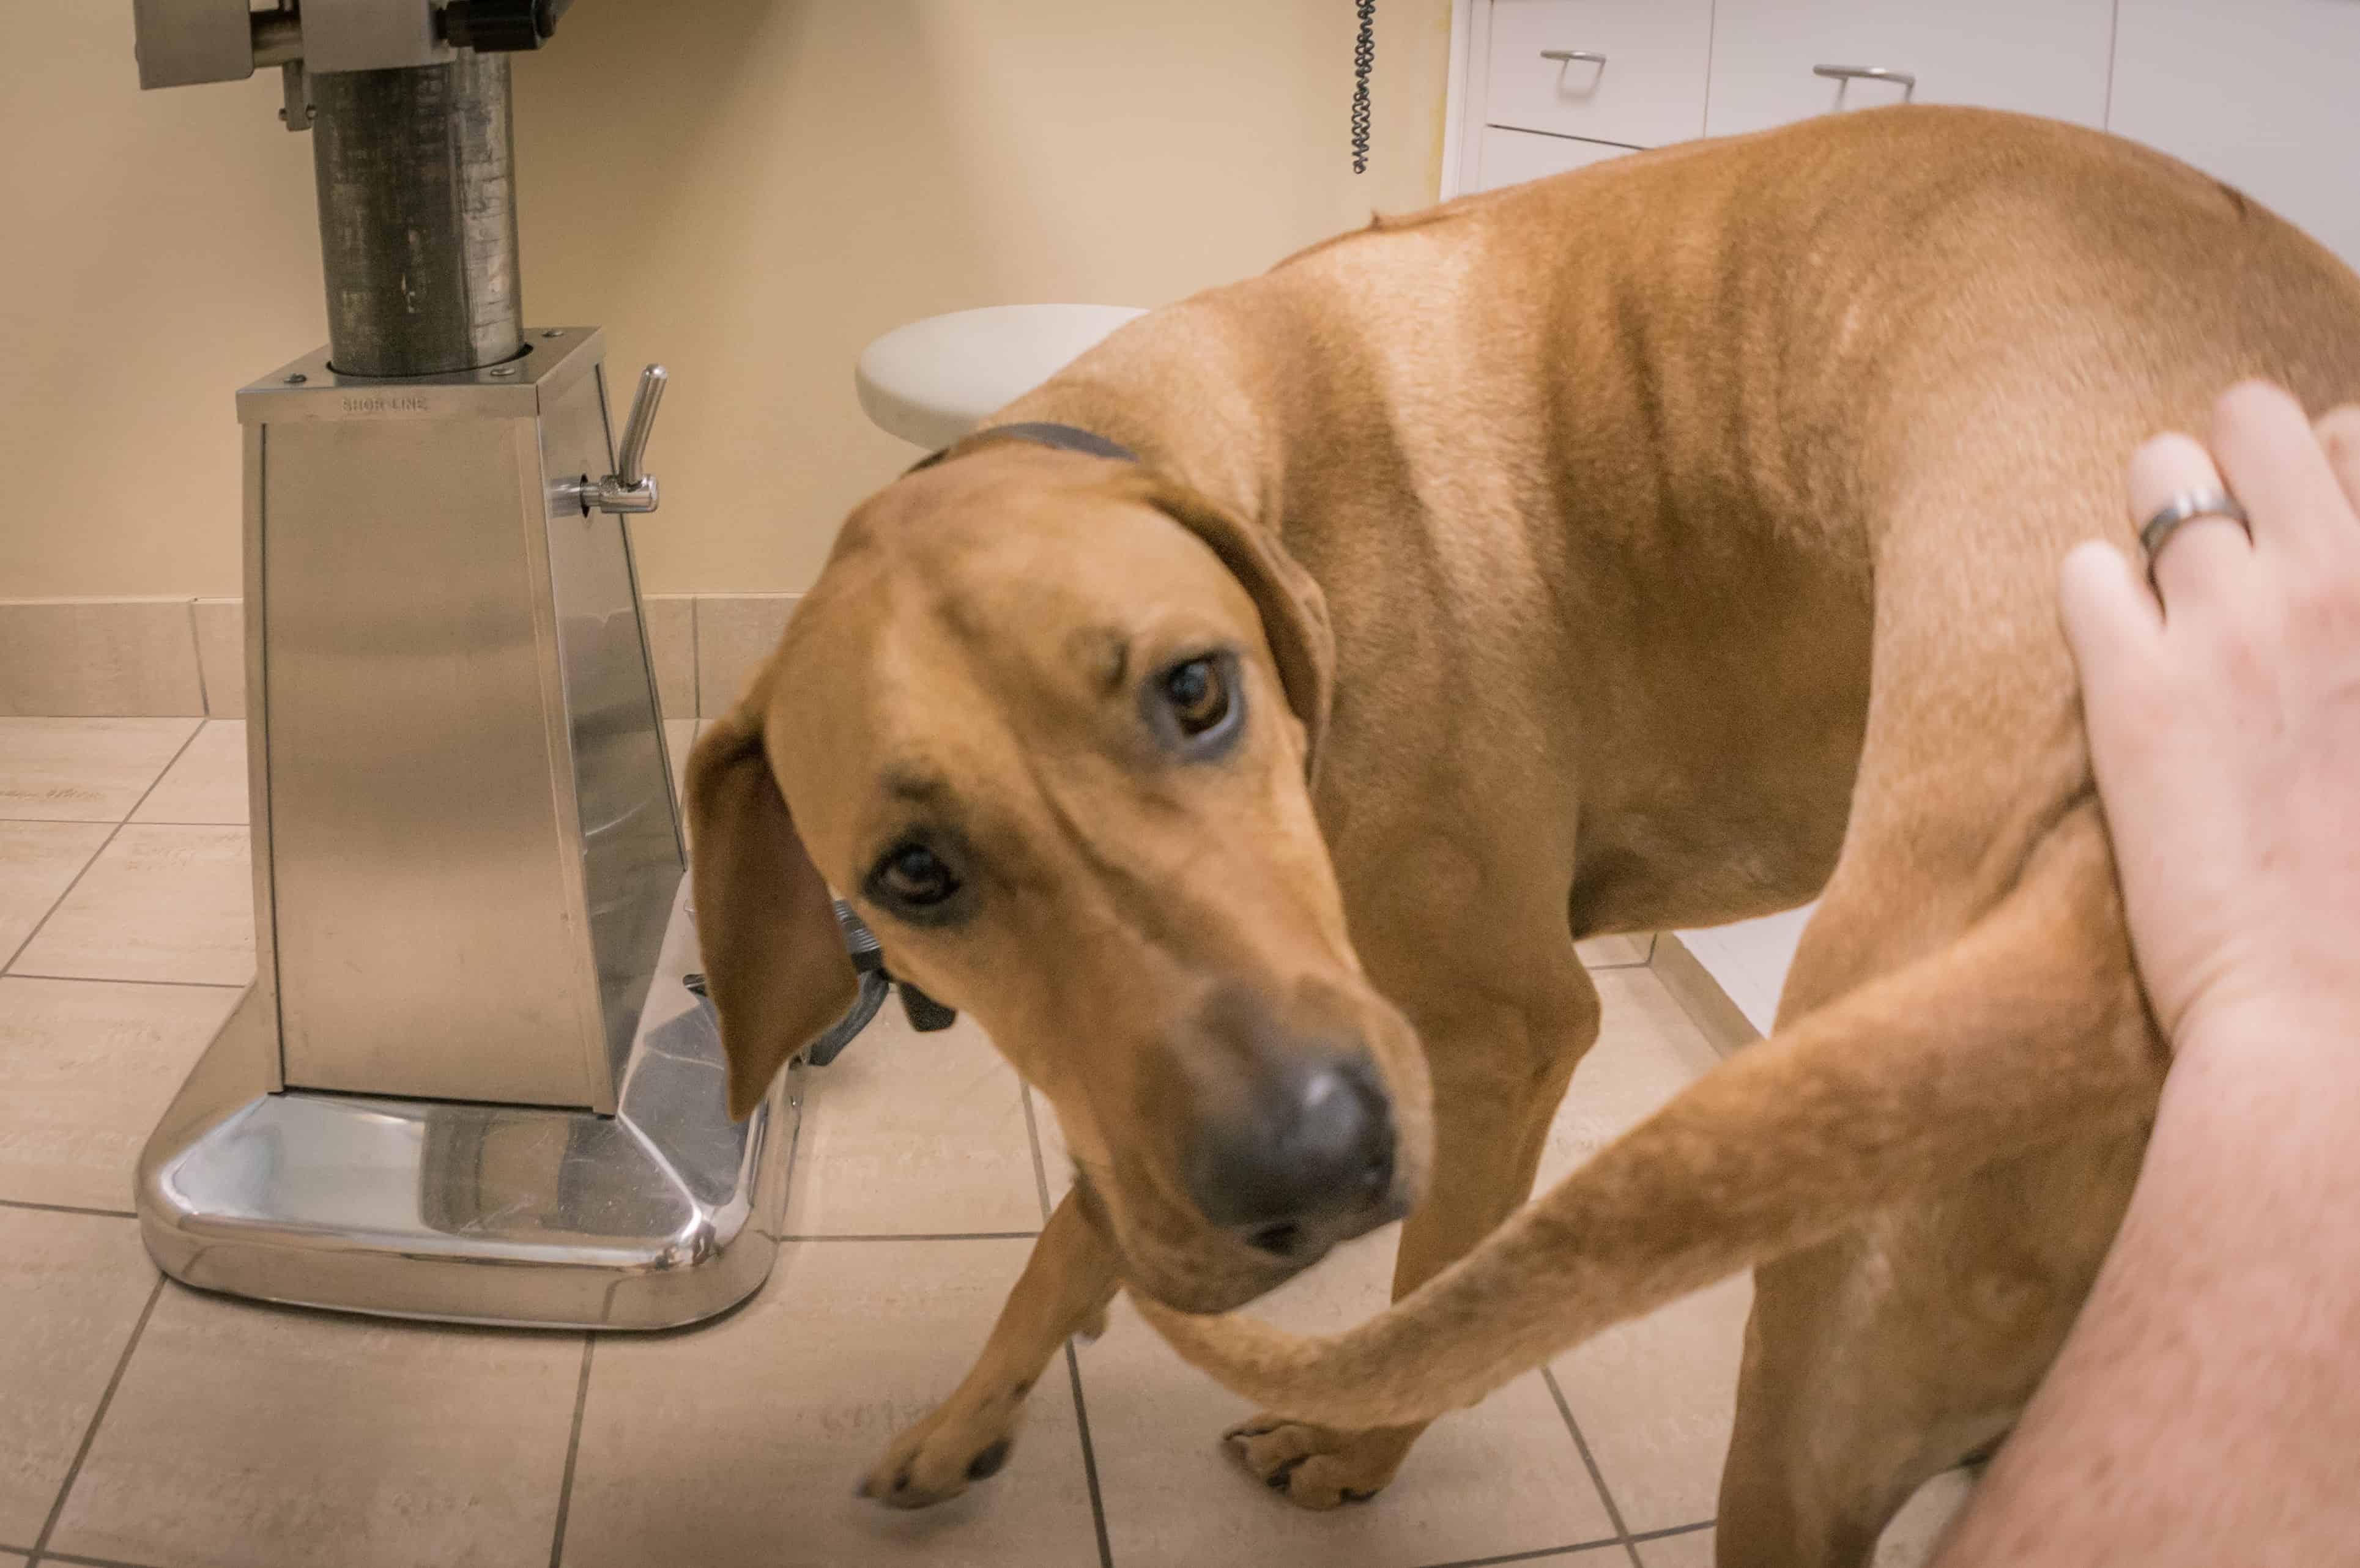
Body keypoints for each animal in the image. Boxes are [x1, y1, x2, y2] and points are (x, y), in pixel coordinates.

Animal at [684, 103, 2360, 1556]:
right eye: (914, 873)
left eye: (1197, 690)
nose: (1303, 1175)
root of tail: (2108, 871)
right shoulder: (1196, 1087)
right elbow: (1076, 1230)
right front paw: (967, 1418)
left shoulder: (1493, 1041)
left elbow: (1421, 1284)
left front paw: (1354, 1450)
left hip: (1803, 1367)